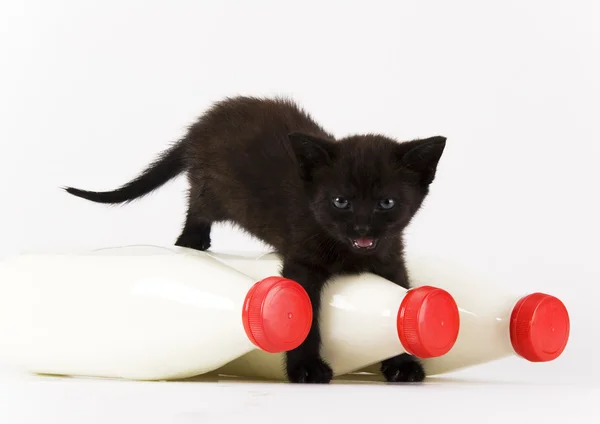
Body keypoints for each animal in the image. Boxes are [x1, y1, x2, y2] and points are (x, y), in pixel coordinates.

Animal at [64, 96, 446, 384]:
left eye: (386, 203)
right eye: (341, 202)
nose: (362, 229)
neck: (349, 252)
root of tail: (203, 123)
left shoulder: (391, 260)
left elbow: (402, 299)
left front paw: (403, 363)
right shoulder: (301, 261)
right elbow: (305, 315)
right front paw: (306, 368)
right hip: (215, 190)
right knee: (196, 205)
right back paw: (191, 240)